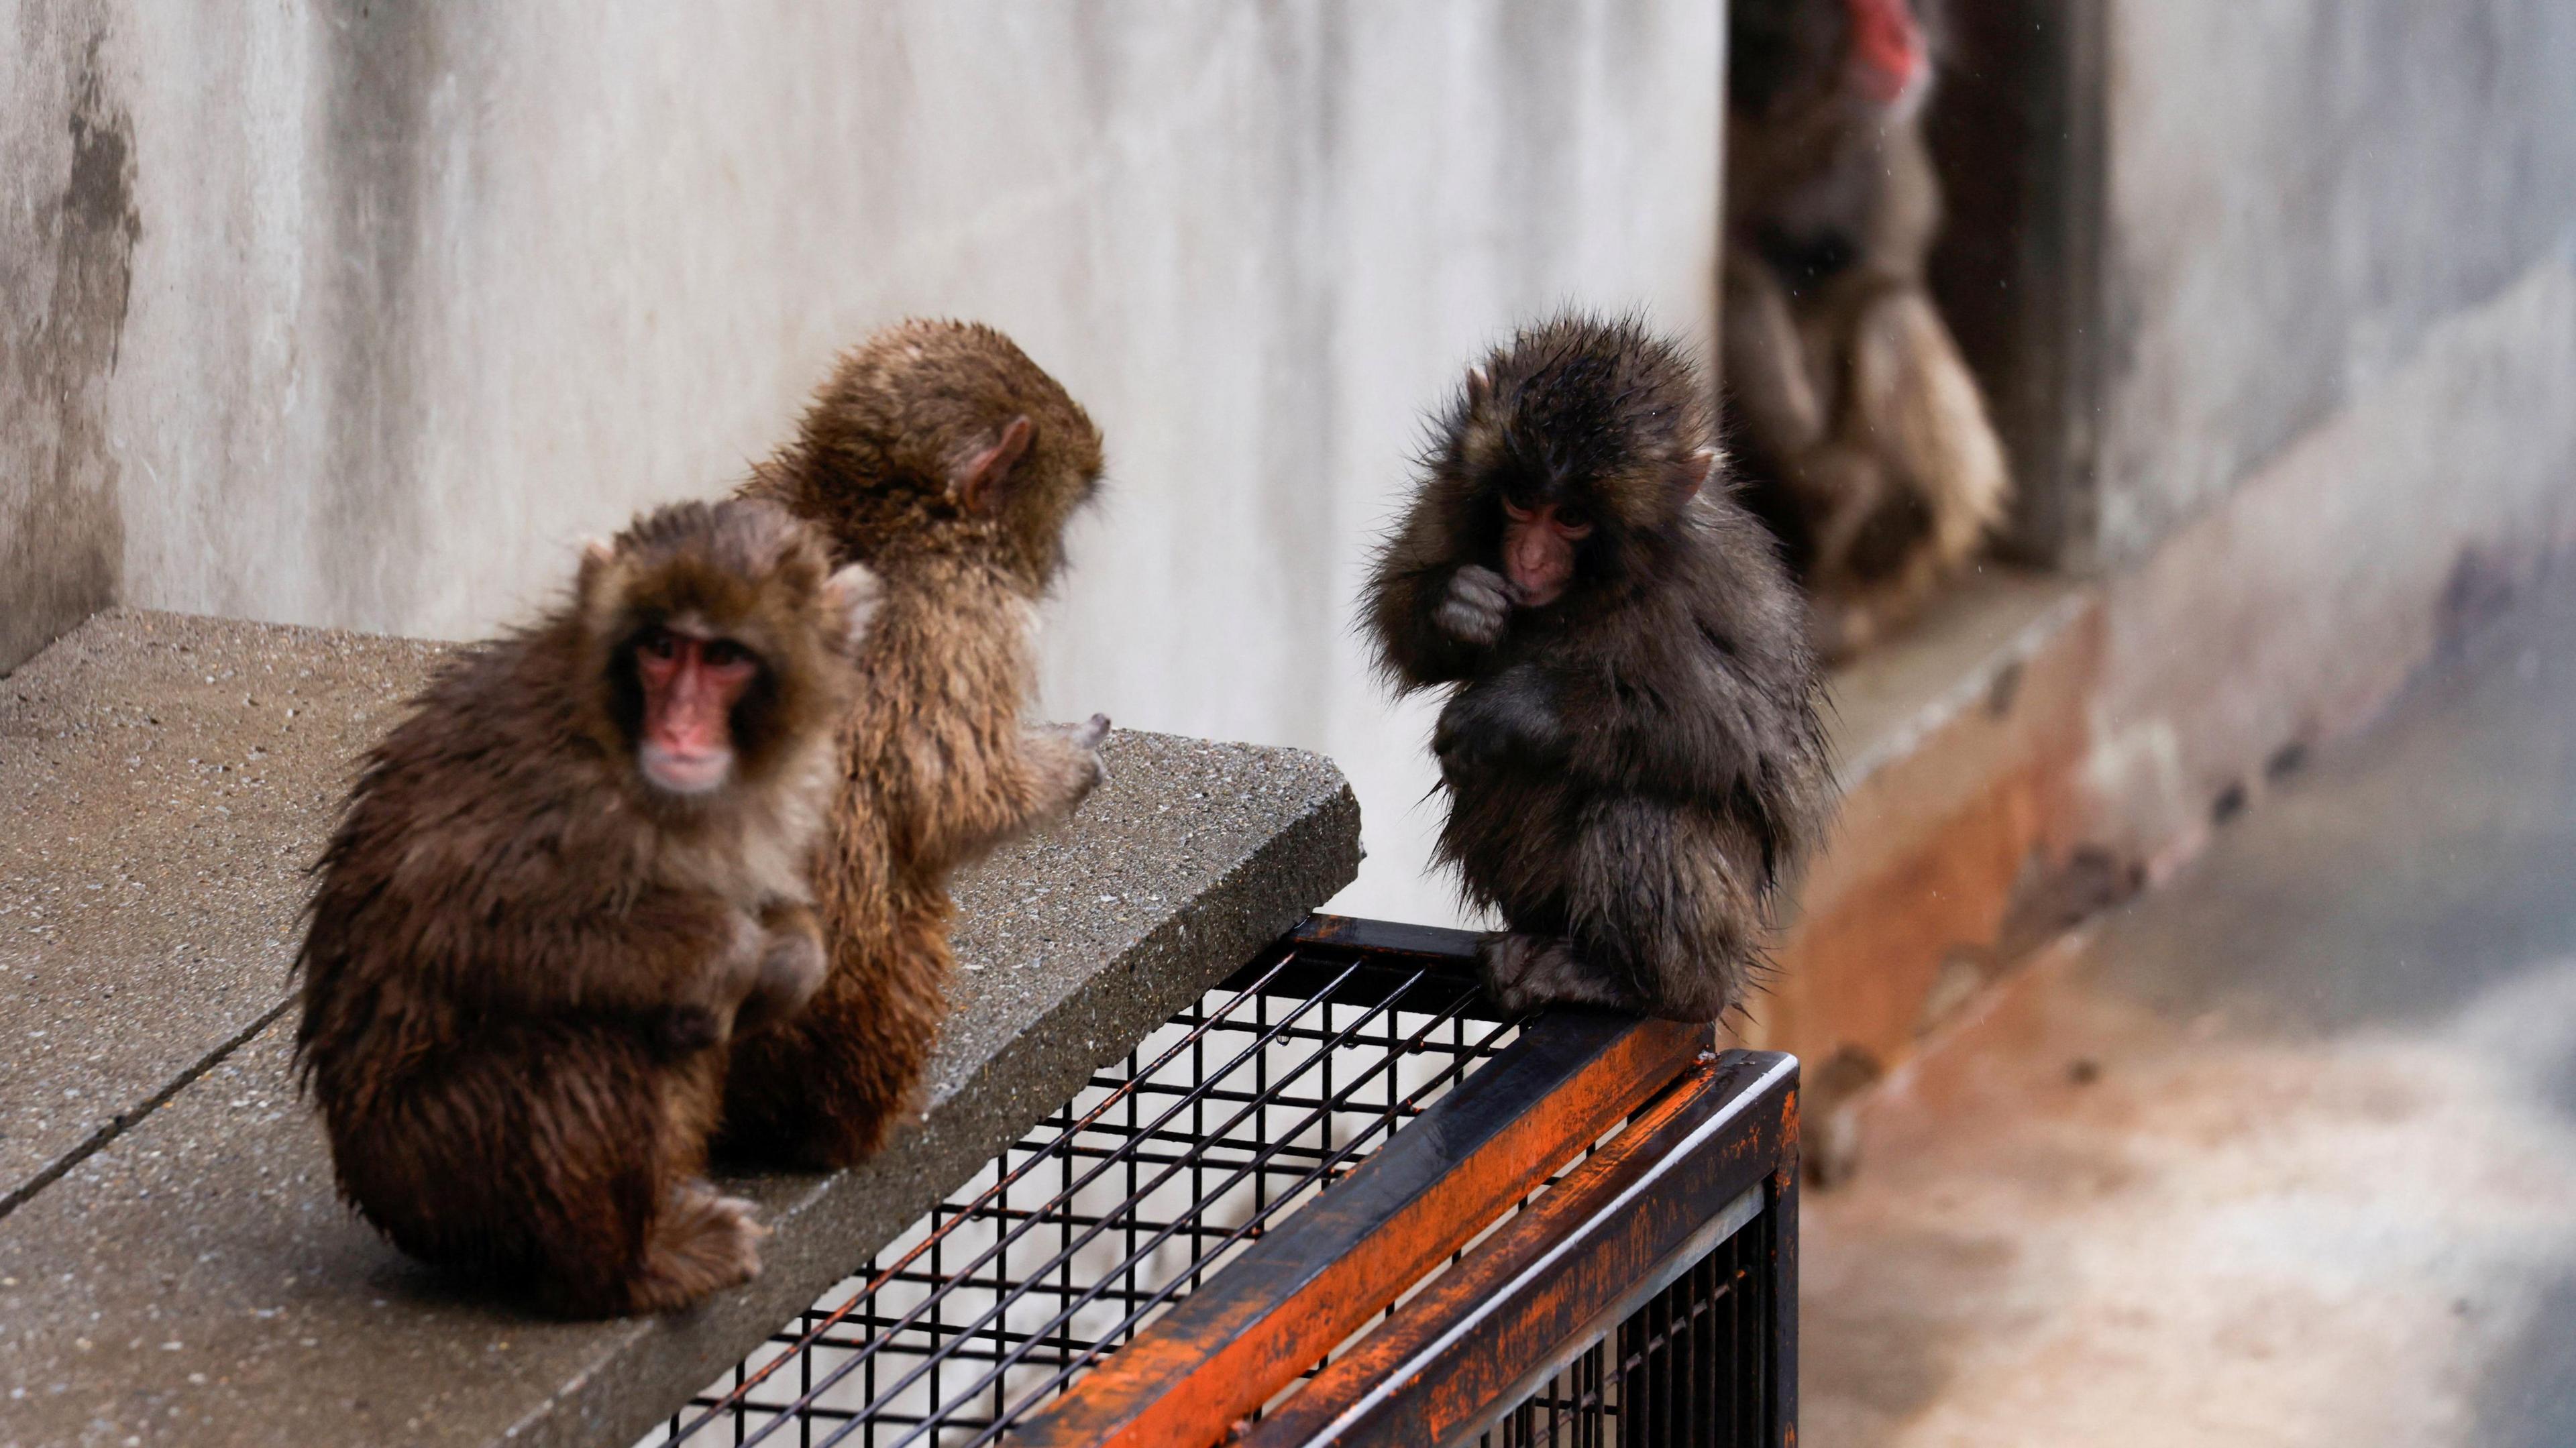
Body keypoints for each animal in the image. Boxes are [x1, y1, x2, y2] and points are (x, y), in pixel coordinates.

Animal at [293, 499, 877, 1316]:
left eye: (724, 657)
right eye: (662, 647)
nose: (678, 723)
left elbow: (779, 914)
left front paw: (788, 964)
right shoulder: (564, 791)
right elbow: (467, 933)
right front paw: (726, 950)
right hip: (429, 1166)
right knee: (583, 1049)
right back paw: (626, 1273)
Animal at [1364, 313, 1833, 1022]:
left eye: (1573, 517)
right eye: (1521, 499)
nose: (1528, 559)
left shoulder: (1711, 575)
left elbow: (1750, 738)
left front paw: (1517, 709)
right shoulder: (1449, 495)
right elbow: (1400, 619)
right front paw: (1457, 605)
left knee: (1641, 806)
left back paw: (1630, 979)